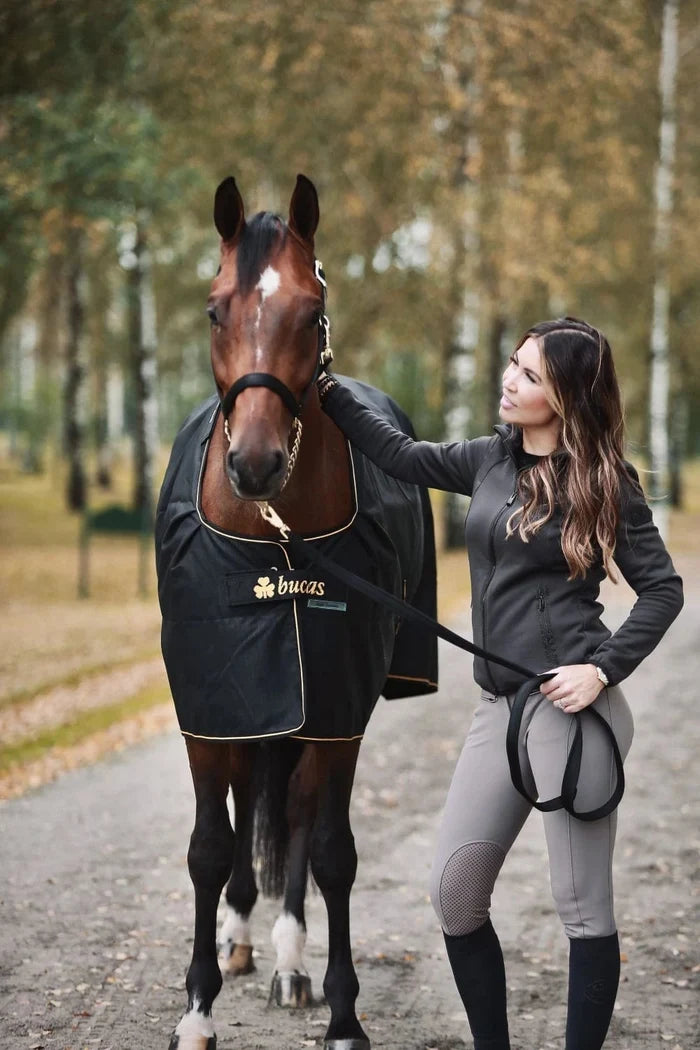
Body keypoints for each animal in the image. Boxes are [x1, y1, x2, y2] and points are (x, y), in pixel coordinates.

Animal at [155, 174, 438, 1050]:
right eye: (215, 309)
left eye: (312, 312)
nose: (254, 463)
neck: (272, 545)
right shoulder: (212, 705)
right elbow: (209, 849)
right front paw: (197, 1010)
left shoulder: (338, 708)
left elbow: (333, 852)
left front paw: (344, 1014)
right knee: (252, 803)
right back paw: (243, 938)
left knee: (301, 818)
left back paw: (287, 958)